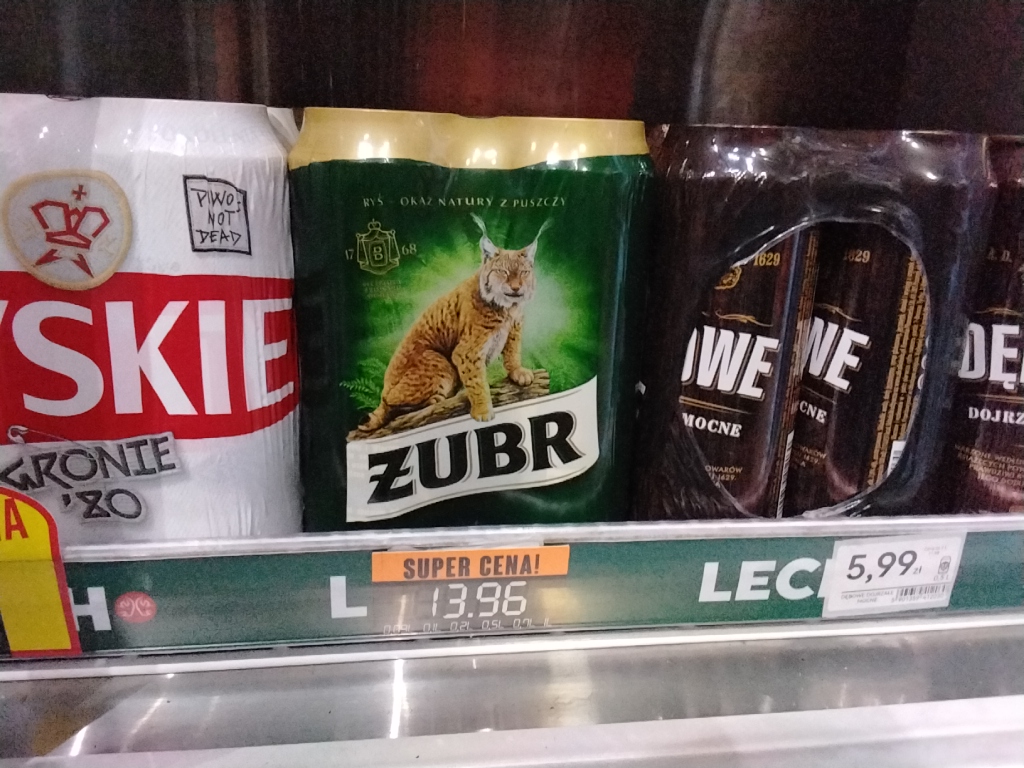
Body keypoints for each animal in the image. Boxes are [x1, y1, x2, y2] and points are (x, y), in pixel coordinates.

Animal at [359, 214, 548, 432]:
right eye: (503, 272)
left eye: (524, 273)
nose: (517, 288)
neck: (508, 308)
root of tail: (383, 391)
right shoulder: (466, 352)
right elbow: (477, 382)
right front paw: (483, 410)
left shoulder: (514, 330)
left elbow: (513, 352)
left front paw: (517, 372)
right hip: (439, 361)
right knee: (399, 406)